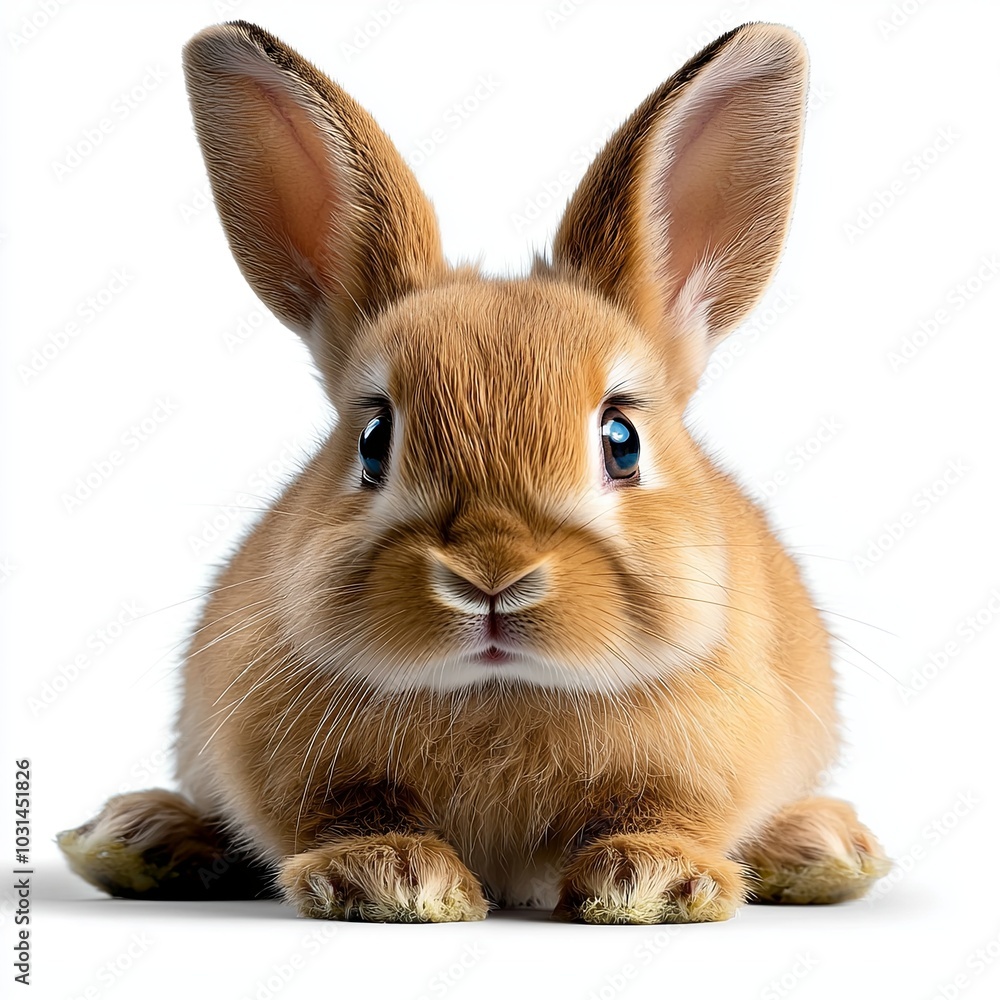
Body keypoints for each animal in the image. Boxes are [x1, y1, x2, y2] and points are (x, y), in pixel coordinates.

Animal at [57, 19, 890, 923]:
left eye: (622, 440)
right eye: (373, 440)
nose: (492, 576)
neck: (501, 693)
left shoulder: (703, 764)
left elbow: (665, 813)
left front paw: (654, 882)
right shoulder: (299, 765)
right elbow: (346, 813)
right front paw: (389, 878)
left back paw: (823, 847)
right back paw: (138, 836)